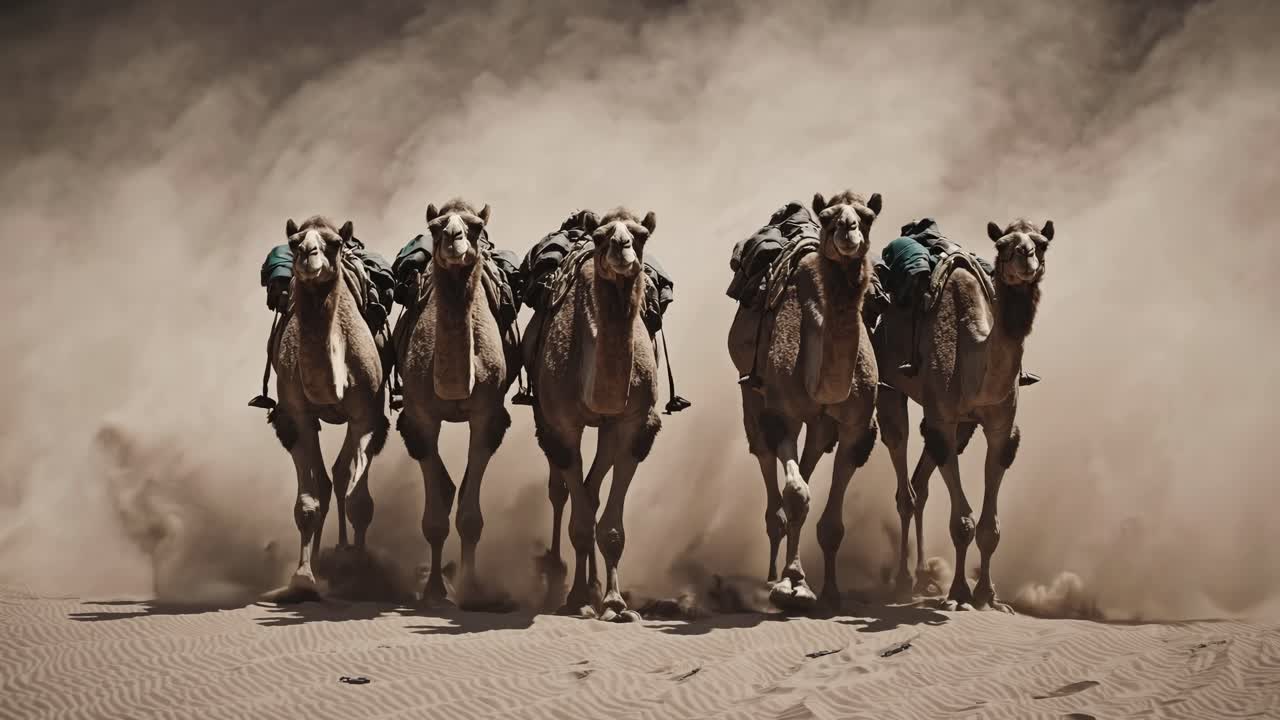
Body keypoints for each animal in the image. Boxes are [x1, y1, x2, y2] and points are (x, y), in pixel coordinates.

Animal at [265, 216, 389, 601]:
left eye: (333, 244)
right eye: (294, 242)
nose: (308, 255)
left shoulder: (366, 414)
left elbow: (359, 499)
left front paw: (362, 574)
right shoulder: (298, 415)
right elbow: (308, 502)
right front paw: (303, 578)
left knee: (340, 475)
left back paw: (347, 555)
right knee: (324, 479)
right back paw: (319, 563)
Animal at [395, 199, 516, 605]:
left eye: (475, 227)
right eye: (434, 228)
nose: (453, 238)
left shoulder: (487, 413)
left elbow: (469, 514)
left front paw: (472, 590)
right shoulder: (419, 415)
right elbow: (436, 514)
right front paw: (434, 590)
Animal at [528, 208, 663, 622]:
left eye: (641, 235)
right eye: (602, 236)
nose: (621, 248)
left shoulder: (635, 425)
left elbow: (610, 527)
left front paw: (616, 604)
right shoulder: (562, 424)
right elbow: (582, 523)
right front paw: (578, 600)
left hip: (606, 429)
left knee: (592, 489)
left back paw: (594, 584)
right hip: (544, 418)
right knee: (561, 492)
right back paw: (562, 577)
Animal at [727, 191, 882, 612]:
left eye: (868, 216)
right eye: (828, 216)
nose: (848, 231)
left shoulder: (856, 427)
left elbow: (830, 523)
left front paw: (830, 592)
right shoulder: (783, 412)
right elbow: (796, 497)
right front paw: (792, 586)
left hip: (821, 425)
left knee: (809, 463)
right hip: (751, 391)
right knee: (766, 462)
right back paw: (770, 575)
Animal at [874, 218, 1055, 612]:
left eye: (1042, 243)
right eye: (1003, 244)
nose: (1025, 257)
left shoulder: (1000, 427)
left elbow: (989, 528)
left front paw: (988, 595)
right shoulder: (942, 419)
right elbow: (962, 522)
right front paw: (959, 594)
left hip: (959, 428)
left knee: (921, 485)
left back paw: (923, 578)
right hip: (891, 389)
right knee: (904, 482)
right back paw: (902, 581)